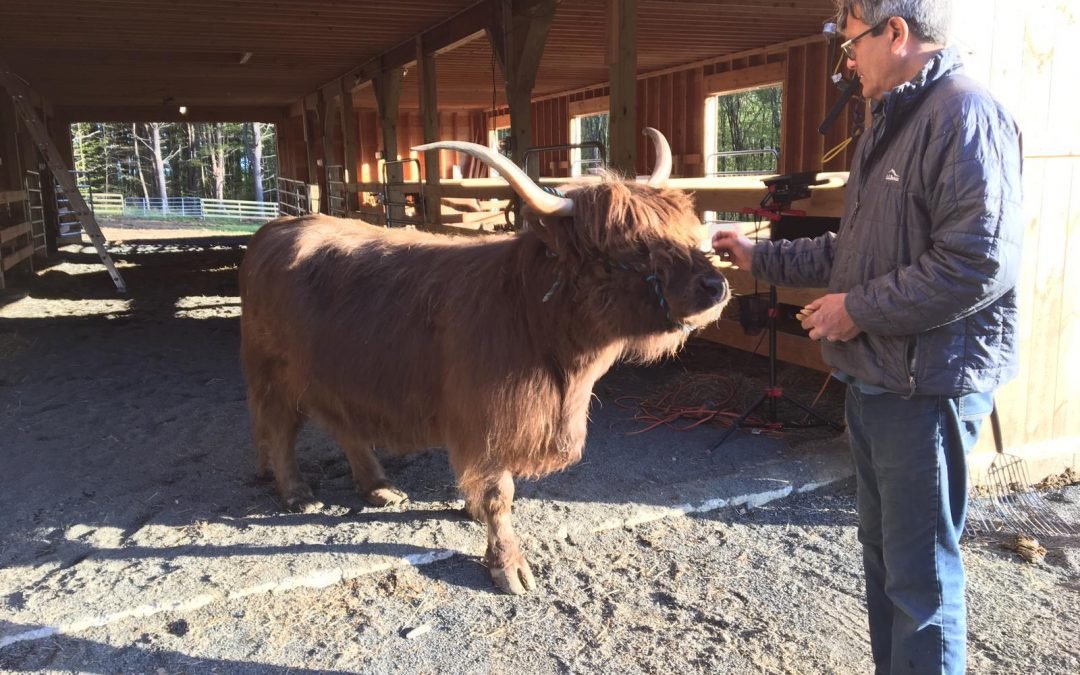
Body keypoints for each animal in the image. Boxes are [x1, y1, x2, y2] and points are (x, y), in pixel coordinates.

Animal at [238, 129, 729, 594]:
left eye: (687, 230)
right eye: (632, 245)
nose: (716, 286)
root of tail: (278, 227)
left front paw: (472, 512)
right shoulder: (487, 417)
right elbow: (500, 493)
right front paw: (508, 565)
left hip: (339, 374)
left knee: (345, 427)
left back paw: (379, 487)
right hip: (273, 371)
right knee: (280, 428)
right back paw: (298, 494)